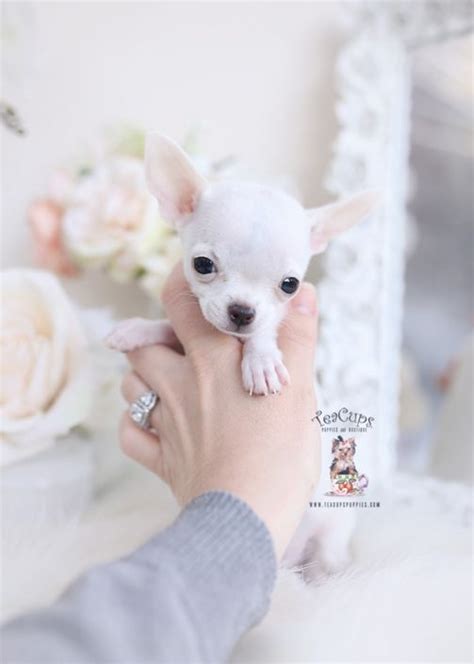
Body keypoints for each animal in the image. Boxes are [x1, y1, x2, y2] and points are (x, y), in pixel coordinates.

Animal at [105, 133, 376, 396]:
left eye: (290, 285)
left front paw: (262, 362)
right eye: (202, 265)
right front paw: (138, 329)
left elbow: (263, 332)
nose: (243, 312)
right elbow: (168, 329)